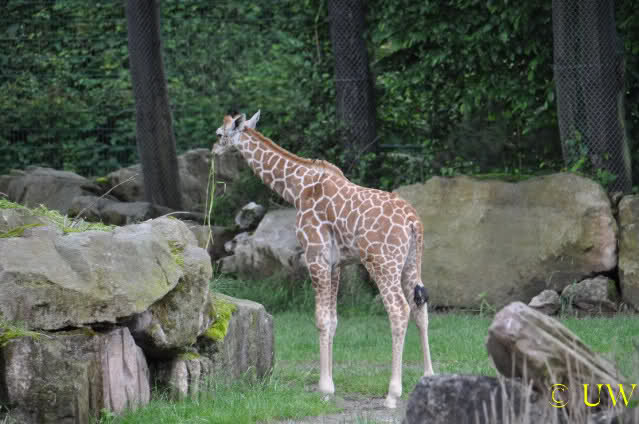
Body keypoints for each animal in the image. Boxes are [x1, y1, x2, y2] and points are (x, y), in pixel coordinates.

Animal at [214, 111, 434, 408]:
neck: (298, 188)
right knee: (420, 308)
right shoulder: (335, 263)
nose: (214, 151)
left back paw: (392, 394)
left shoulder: (315, 255)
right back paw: (428, 379)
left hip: (383, 262)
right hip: (412, 262)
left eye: (219, 134)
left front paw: (324, 388)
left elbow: (320, 319)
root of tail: (413, 222)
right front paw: (330, 386)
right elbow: (333, 320)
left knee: (399, 310)